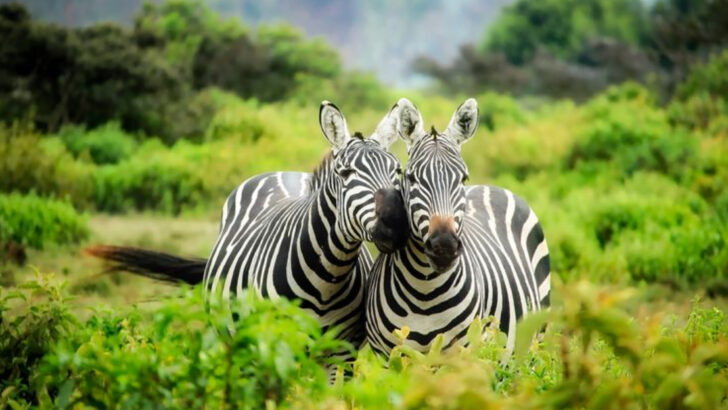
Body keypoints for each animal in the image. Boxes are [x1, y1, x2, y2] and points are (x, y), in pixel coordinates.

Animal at [88, 101, 409, 352]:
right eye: (345, 173)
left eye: (397, 170)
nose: (395, 222)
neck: (327, 277)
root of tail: (283, 172)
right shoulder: (275, 343)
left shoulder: (341, 353)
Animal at [365, 98, 550, 356]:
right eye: (411, 178)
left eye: (463, 178)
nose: (444, 246)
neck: (424, 291)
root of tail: (491, 187)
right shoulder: (386, 356)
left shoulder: (461, 354)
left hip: (535, 341)